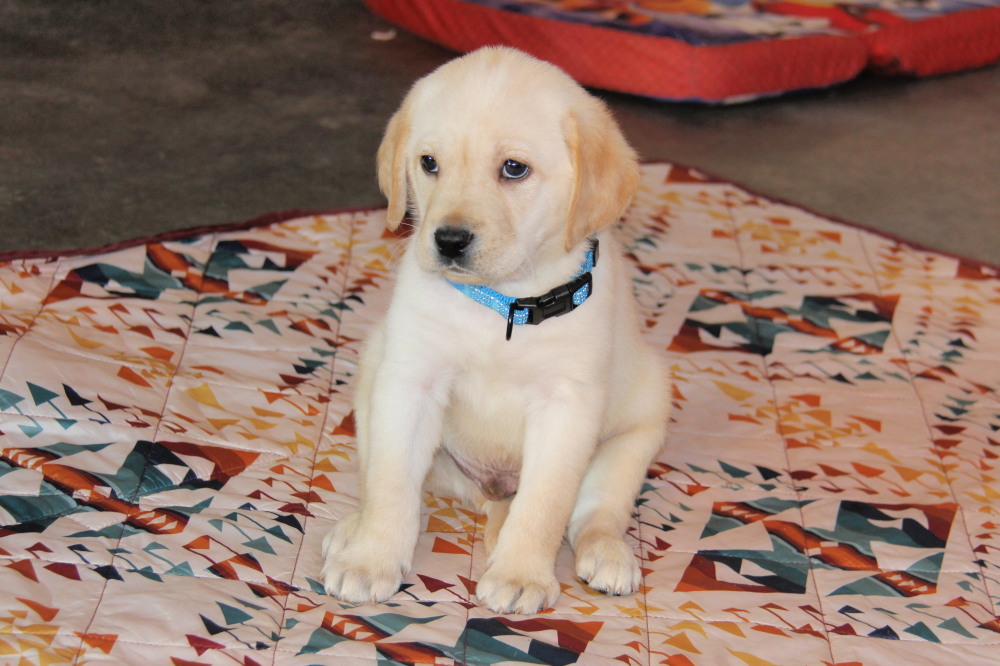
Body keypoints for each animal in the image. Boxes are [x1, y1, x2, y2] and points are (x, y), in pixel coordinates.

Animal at [324, 46, 668, 612]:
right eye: (429, 163)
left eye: (514, 169)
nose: (448, 240)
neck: (502, 303)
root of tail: (491, 491)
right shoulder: (410, 382)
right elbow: (393, 485)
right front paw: (371, 560)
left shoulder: (567, 406)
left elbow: (544, 504)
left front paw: (521, 573)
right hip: (373, 377)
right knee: (391, 485)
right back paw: (354, 529)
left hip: (637, 430)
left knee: (593, 513)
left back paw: (607, 555)